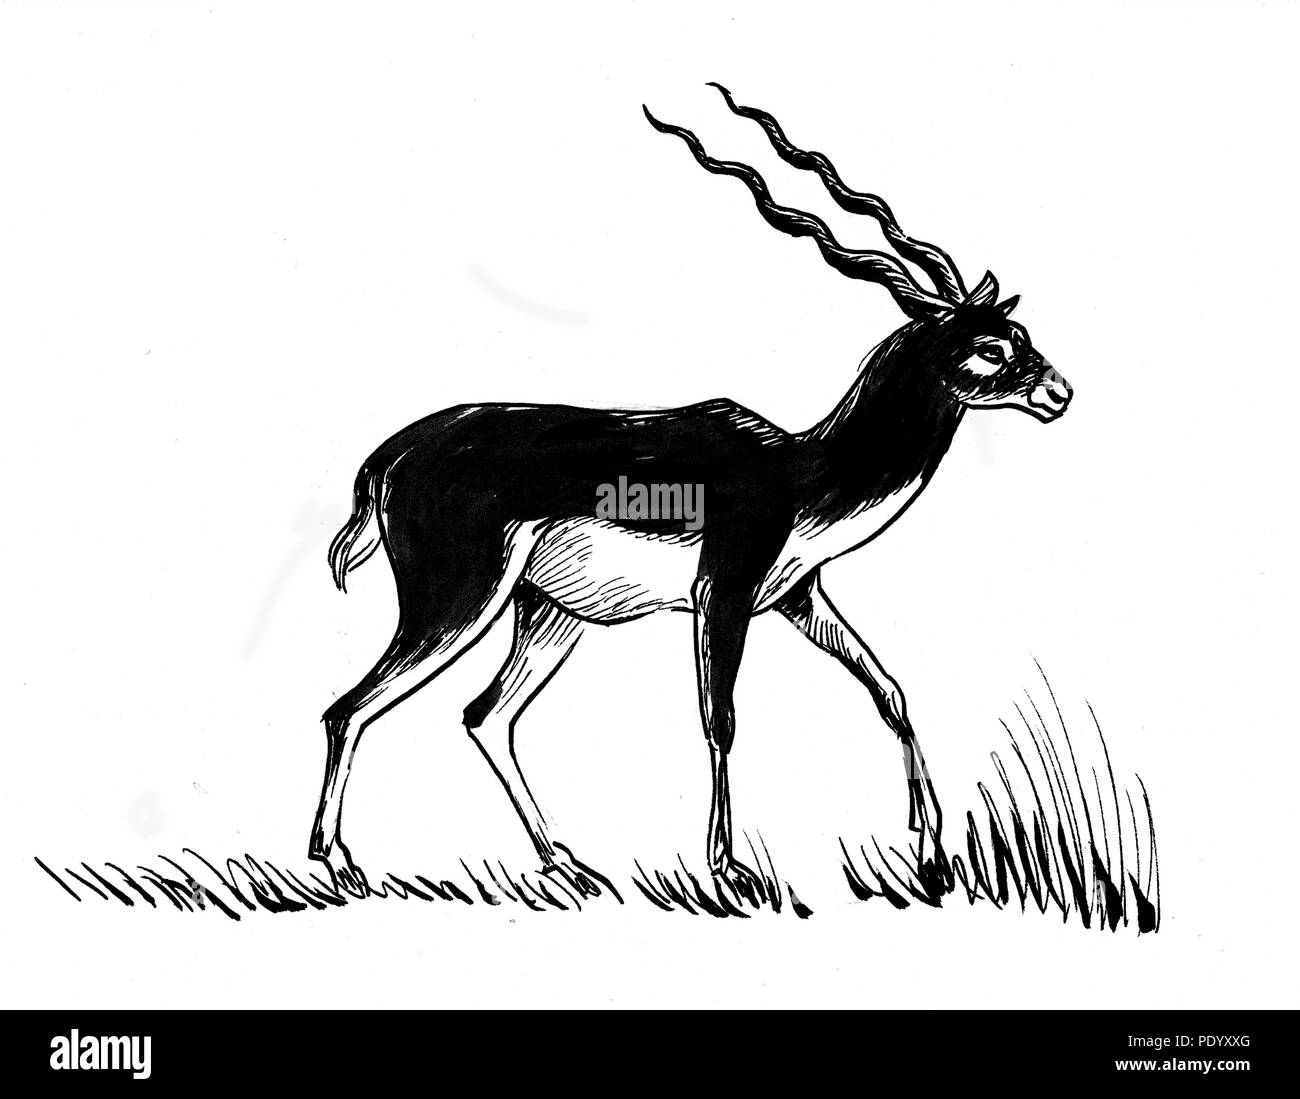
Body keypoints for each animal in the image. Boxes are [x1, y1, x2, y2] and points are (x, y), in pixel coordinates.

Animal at [310, 84, 1073, 898]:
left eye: (1020, 334)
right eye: (988, 347)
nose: (1060, 391)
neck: (802, 470)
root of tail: (385, 461)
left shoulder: (796, 596)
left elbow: (889, 688)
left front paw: (931, 853)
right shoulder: (723, 593)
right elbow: (722, 718)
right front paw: (730, 869)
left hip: (546, 612)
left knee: (485, 714)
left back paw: (567, 863)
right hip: (457, 599)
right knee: (350, 708)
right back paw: (339, 861)